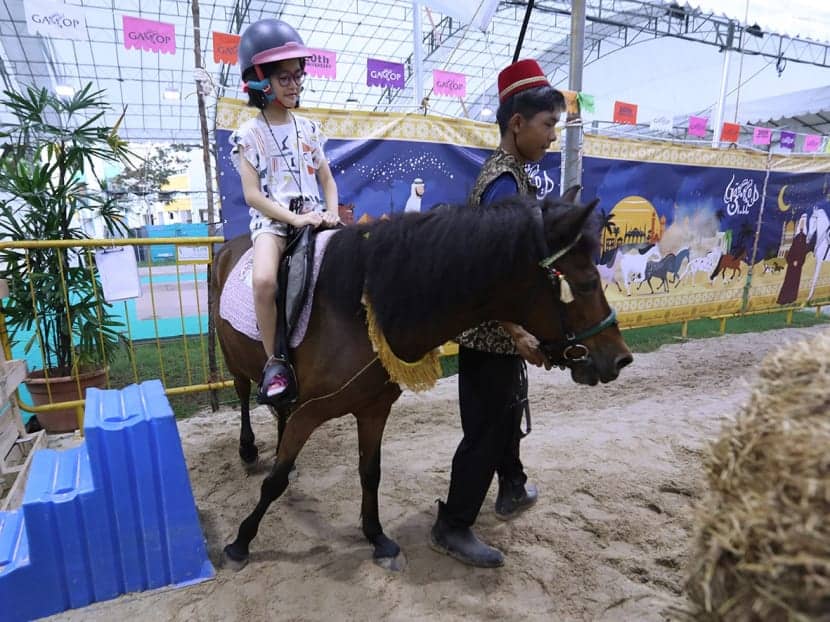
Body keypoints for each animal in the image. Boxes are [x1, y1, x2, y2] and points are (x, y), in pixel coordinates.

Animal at [213, 190, 632, 572]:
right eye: (587, 283)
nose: (620, 357)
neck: (359, 309)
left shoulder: (373, 409)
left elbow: (370, 473)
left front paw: (377, 537)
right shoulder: (309, 413)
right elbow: (274, 482)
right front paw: (240, 543)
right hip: (234, 361)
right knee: (244, 394)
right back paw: (248, 450)